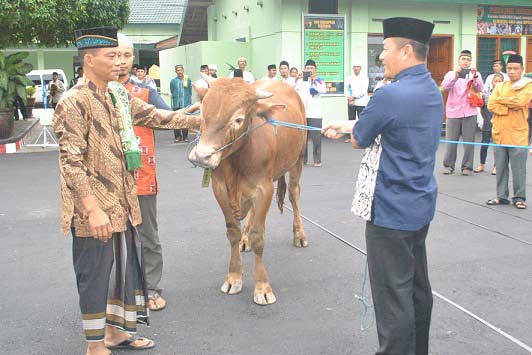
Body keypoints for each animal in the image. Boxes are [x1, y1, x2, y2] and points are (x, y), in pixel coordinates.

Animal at [190, 78, 308, 306]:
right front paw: (234, 277)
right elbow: (232, 232)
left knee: (294, 194)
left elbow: (258, 237)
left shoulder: (264, 189)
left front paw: (262, 287)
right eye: (202, 111)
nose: (201, 156)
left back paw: (299, 234)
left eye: (238, 119)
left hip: (297, 159)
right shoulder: (219, 189)